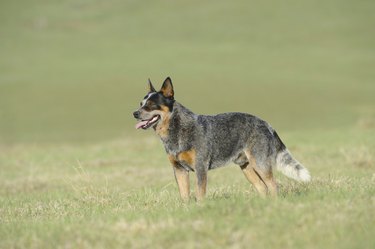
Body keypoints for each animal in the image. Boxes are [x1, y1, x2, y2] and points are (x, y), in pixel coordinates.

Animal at [134, 77, 310, 200]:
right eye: (141, 103)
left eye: (151, 104)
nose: (134, 113)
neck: (177, 129)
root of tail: (266, 124)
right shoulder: (179, 170)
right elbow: (184, 196)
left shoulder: (200, 167)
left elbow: (200, 193)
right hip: (247, 167)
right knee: (262, 187)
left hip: (260, 164)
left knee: (273, 185)